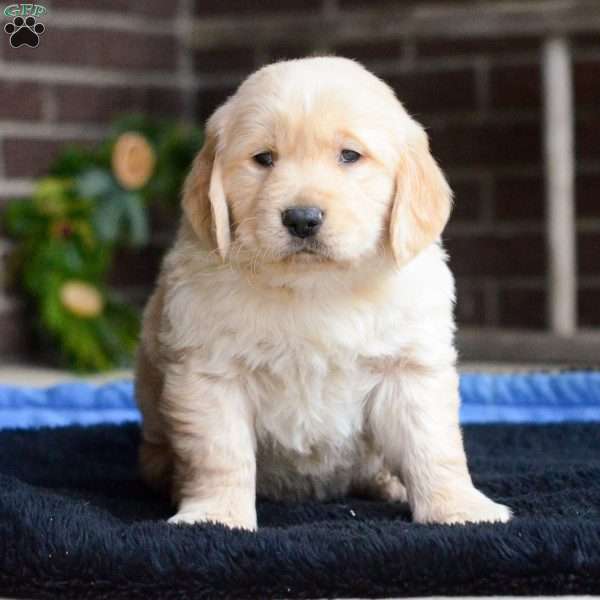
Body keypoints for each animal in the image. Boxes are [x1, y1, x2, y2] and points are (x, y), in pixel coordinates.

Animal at [136, 56, 510, 528]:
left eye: (349, 155)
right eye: (264, 159)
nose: (302, 218)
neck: (315, 286)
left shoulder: (409, 368)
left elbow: (433, 446)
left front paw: (458, 508)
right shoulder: (211, 373)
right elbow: (220, 454)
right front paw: (215, 515)